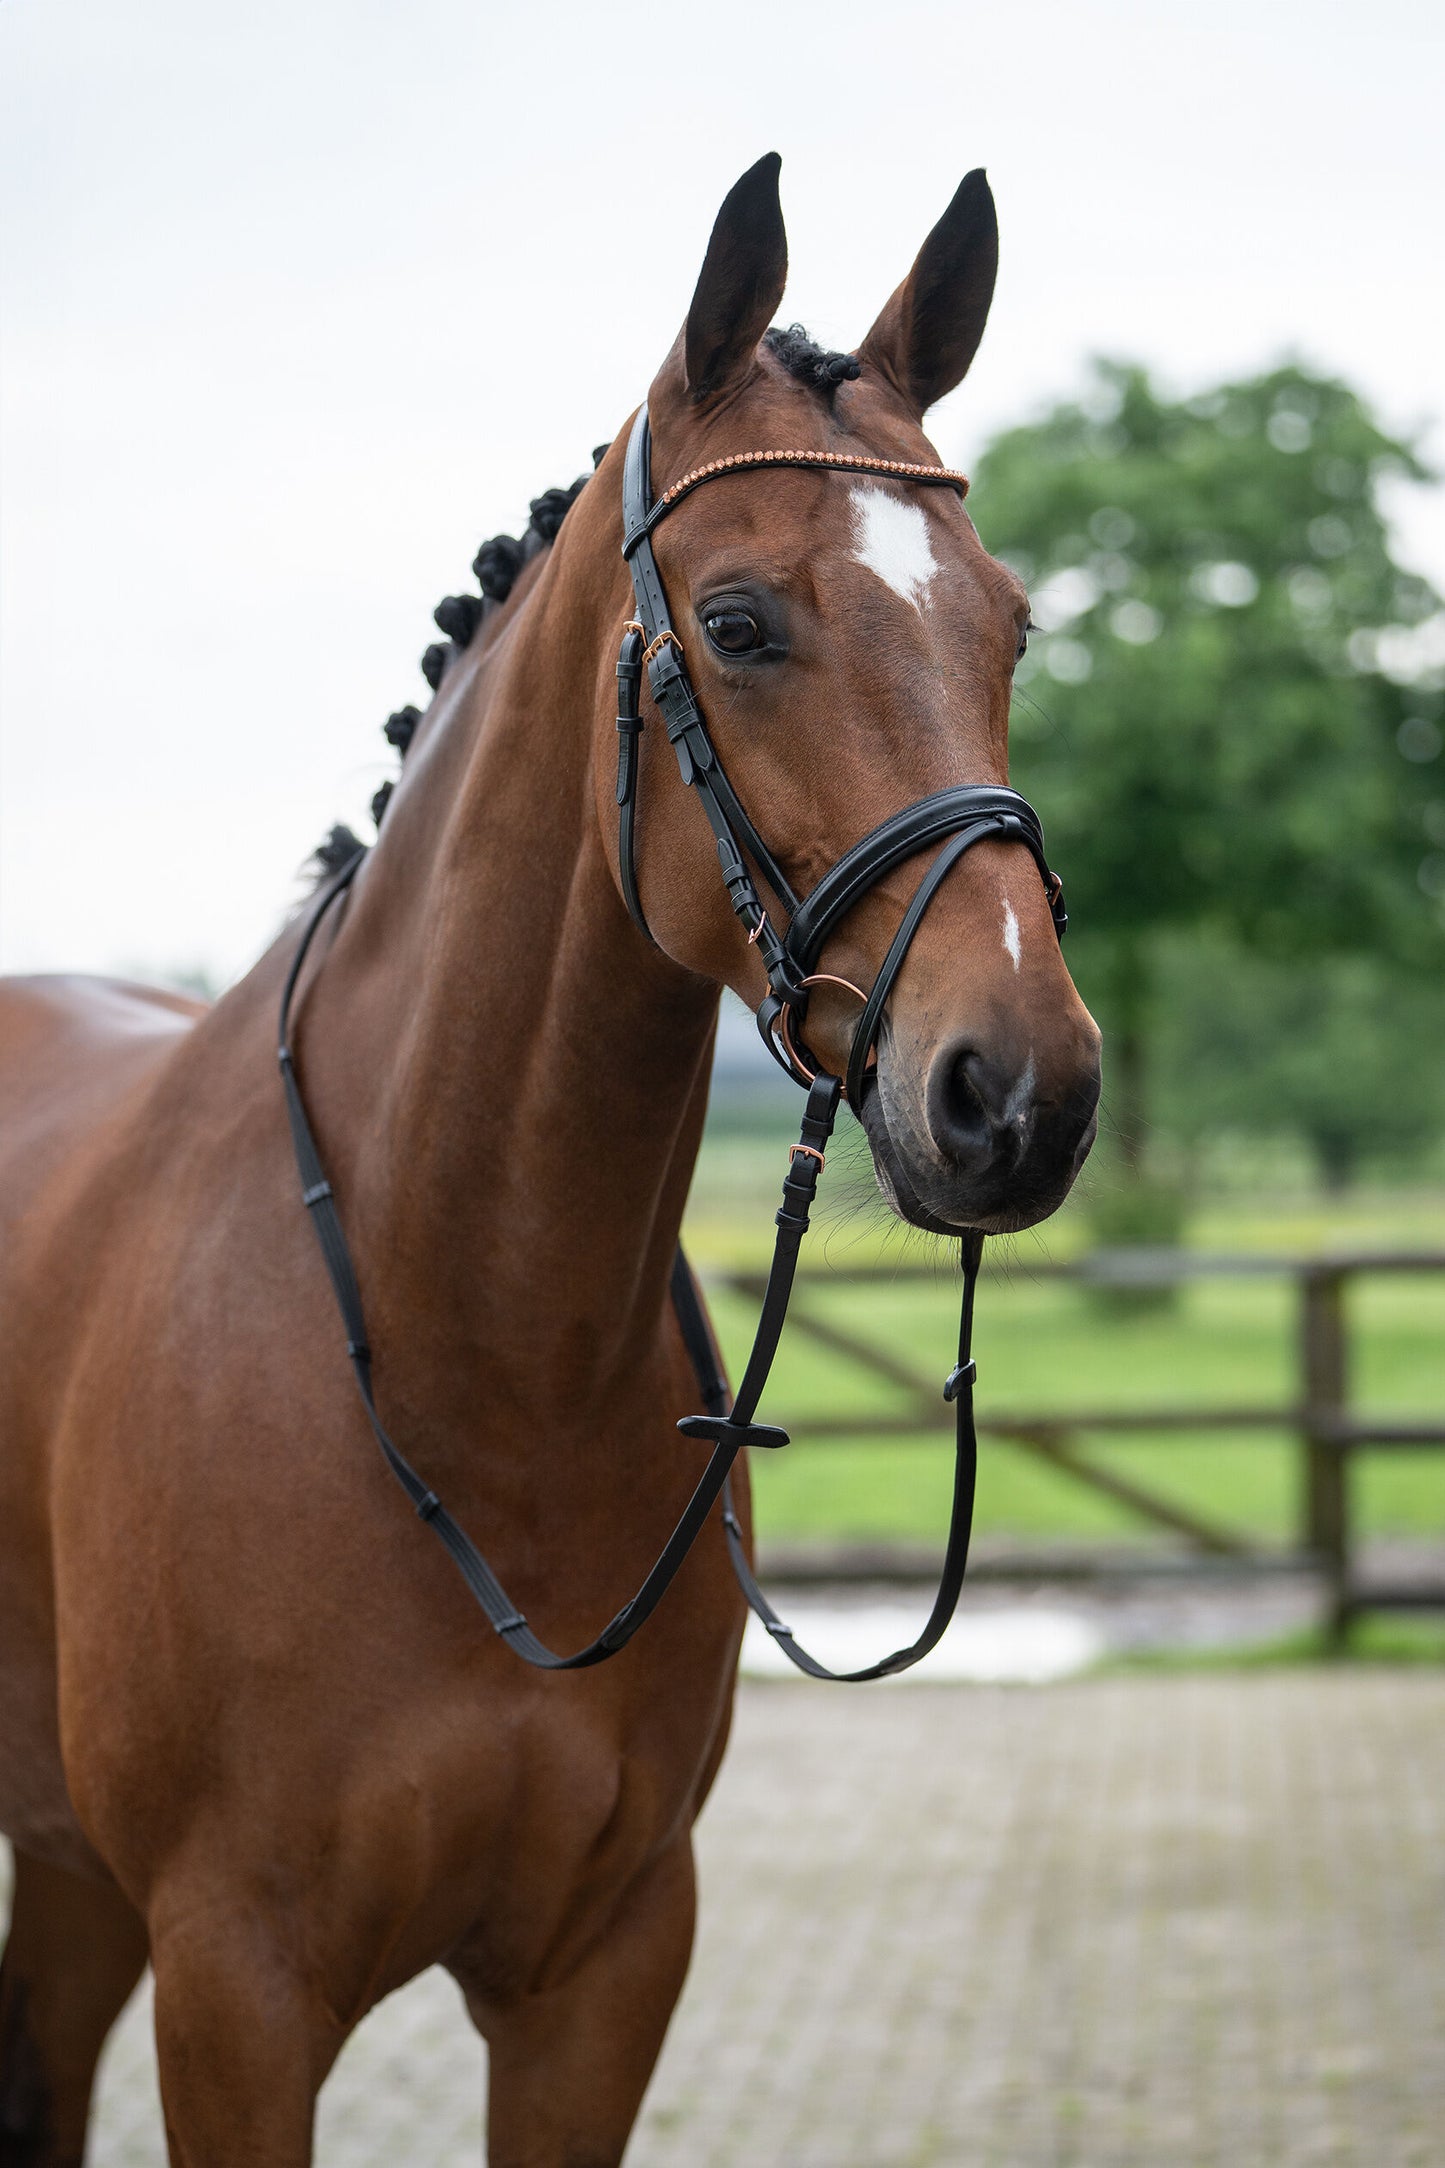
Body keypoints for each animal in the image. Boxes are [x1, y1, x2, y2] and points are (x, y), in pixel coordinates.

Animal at [0, 154, 1101, 2166]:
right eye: (737, 625)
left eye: (1009, 625)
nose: (1024, 1092)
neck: (470, 1363)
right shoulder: (238, 1988)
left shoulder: (602, 1969)